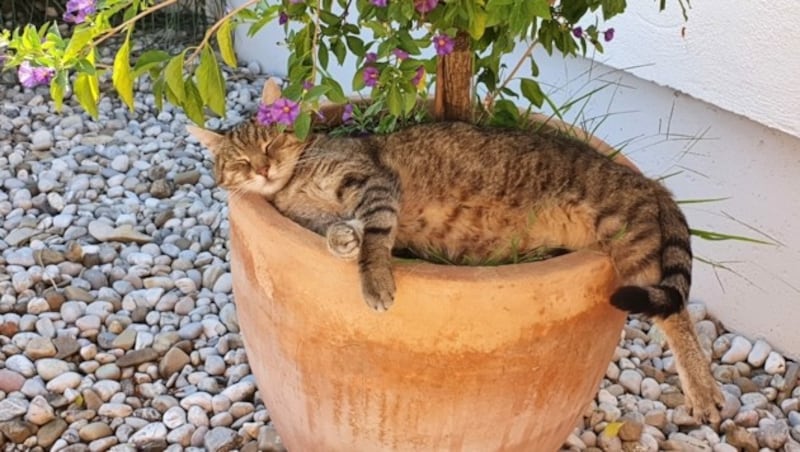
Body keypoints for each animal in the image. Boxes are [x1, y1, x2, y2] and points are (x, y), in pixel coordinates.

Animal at [188, 79, 724, 422]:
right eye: (240, 161)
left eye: (269, 142)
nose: (262, 168)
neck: (295, 182)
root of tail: (647, 181)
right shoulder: (313, 214)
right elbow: (338, 231)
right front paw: (344, 241)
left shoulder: (371, 180)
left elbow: (376, 235)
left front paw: (375, 279)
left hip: (630, 242)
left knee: (677, 317)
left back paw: (704, 391)